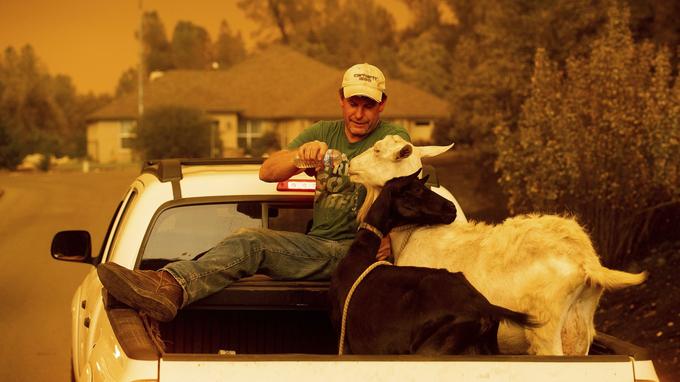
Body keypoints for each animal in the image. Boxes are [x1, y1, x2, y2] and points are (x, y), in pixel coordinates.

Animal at [328, 171, 536, 356]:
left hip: (433, 349)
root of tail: (482, 305)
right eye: (417, 189)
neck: (359, 256)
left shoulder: (346, 345)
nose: (451, 208)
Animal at [350, 135, 648, 356]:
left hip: (546, 329)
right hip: (579, 331)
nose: (351, 165)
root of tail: (585, 261)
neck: (419, 233)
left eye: (377, 150)